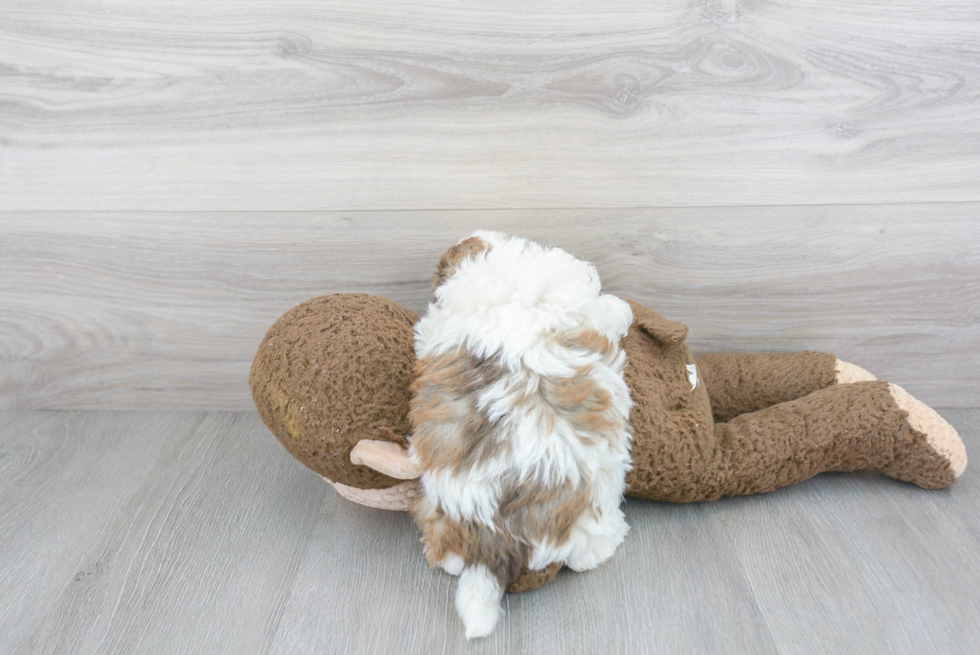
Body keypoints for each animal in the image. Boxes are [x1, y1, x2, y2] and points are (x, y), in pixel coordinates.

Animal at [408, 232, 632, 640]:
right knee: (590, 554)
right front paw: (623, 309)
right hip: (592, 520)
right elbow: (605, 309)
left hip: (434, 511)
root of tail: (494, 537)